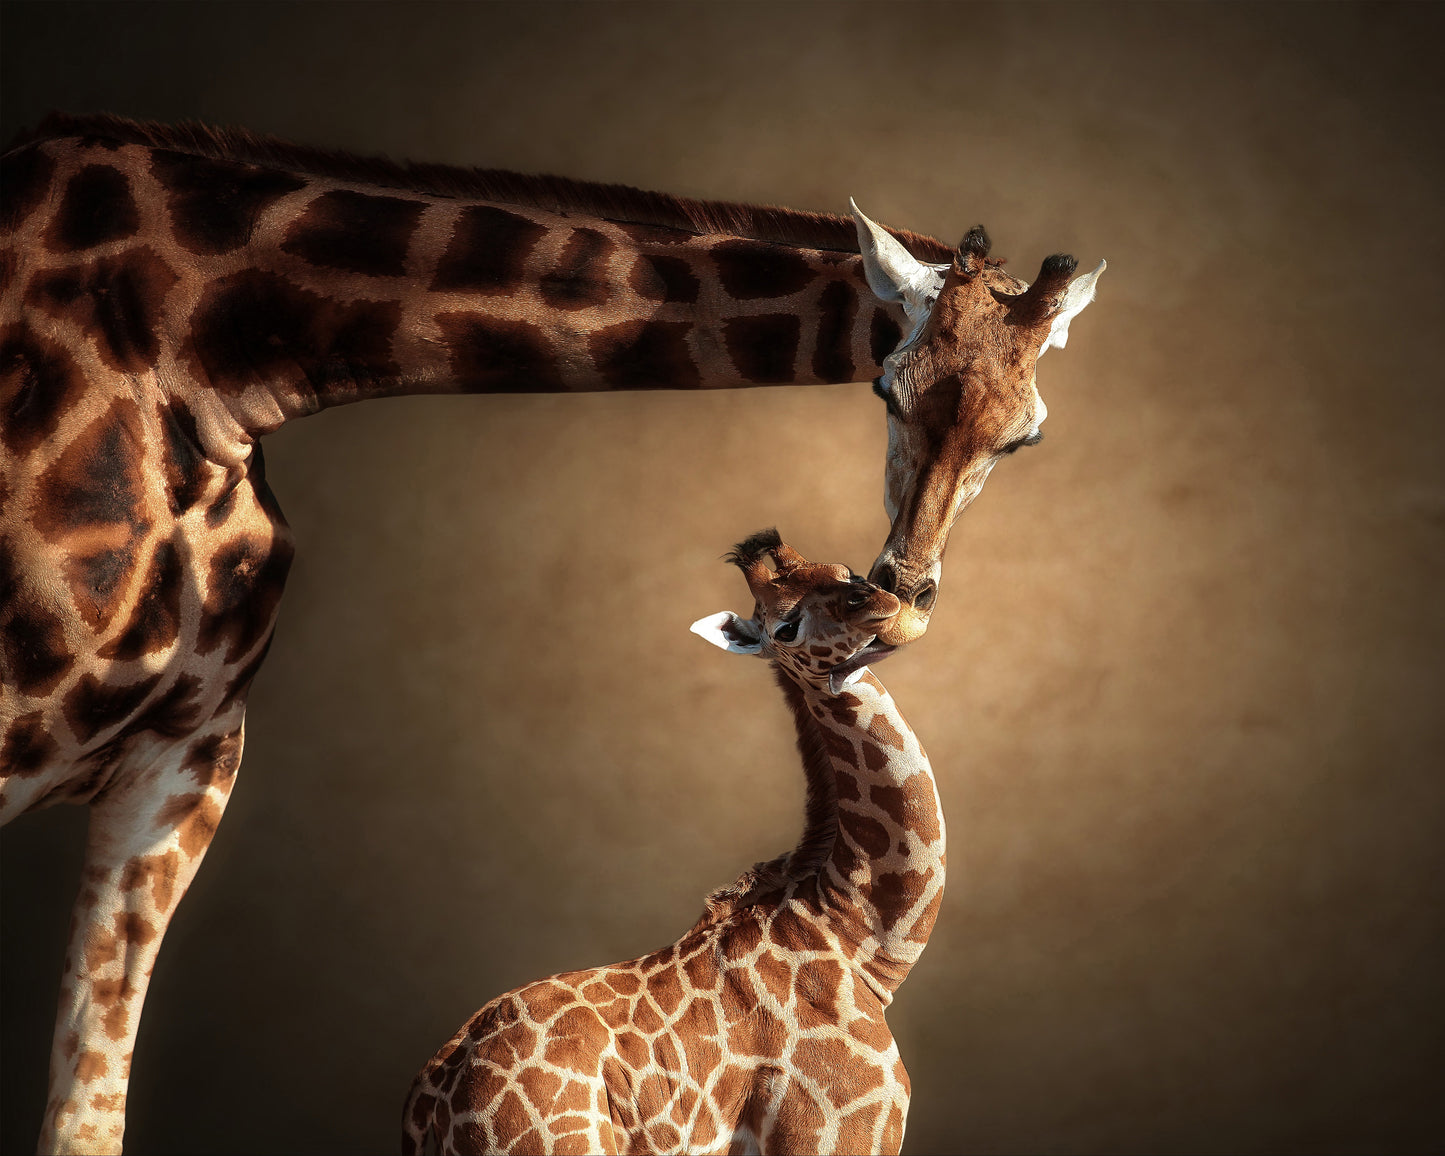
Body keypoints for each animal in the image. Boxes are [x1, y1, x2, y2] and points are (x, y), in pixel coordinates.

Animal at [404, 530, 942, 1155]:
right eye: (784, 627)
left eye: (845, 570)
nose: (877, 601)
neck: (859, 938)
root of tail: (428, 1109)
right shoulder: (835, 1128)